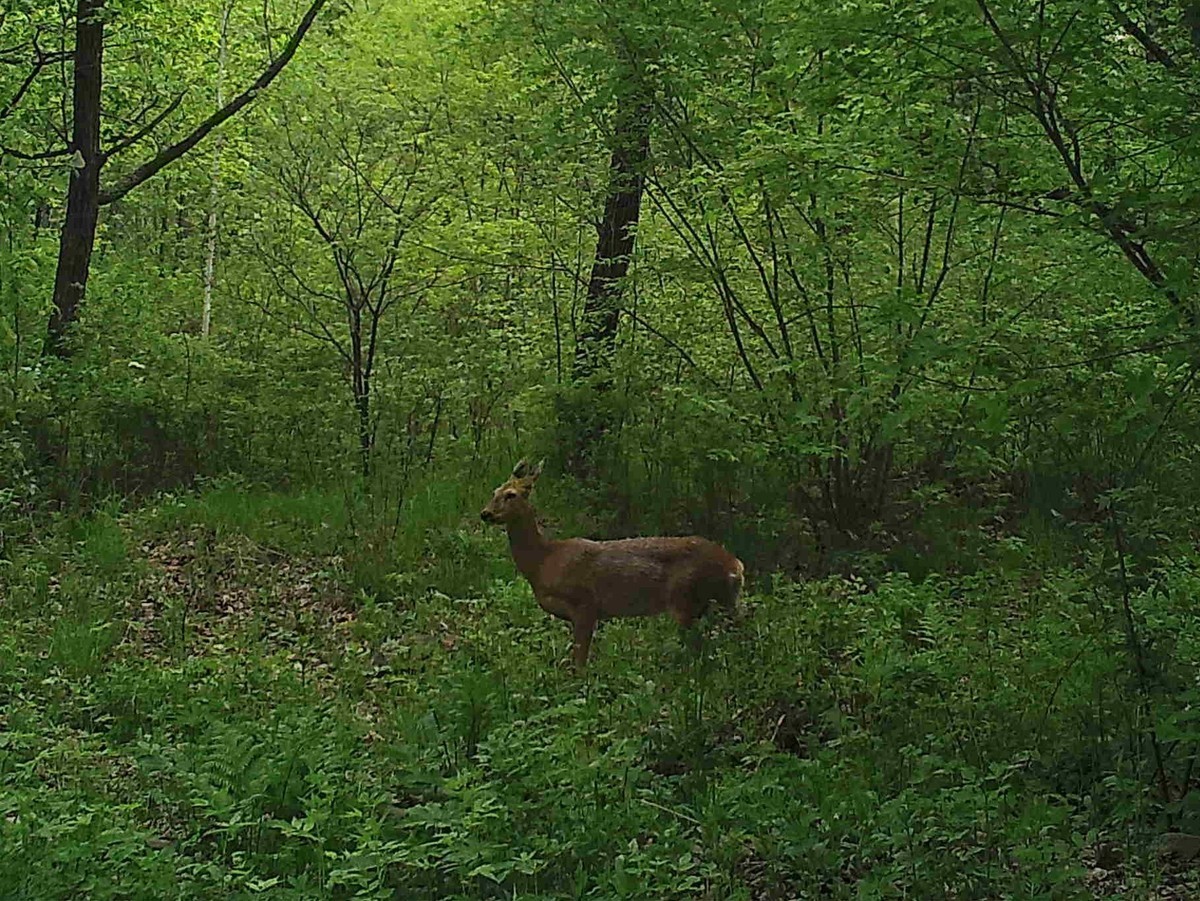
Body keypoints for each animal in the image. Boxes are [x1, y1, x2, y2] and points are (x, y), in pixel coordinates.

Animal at [475, 460, 739, 671]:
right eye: (494, 491)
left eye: (511, 494)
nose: (485, 513)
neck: (543, 562)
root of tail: (735, 565)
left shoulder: (585, 604)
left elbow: (579, 663)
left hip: (685, 600)